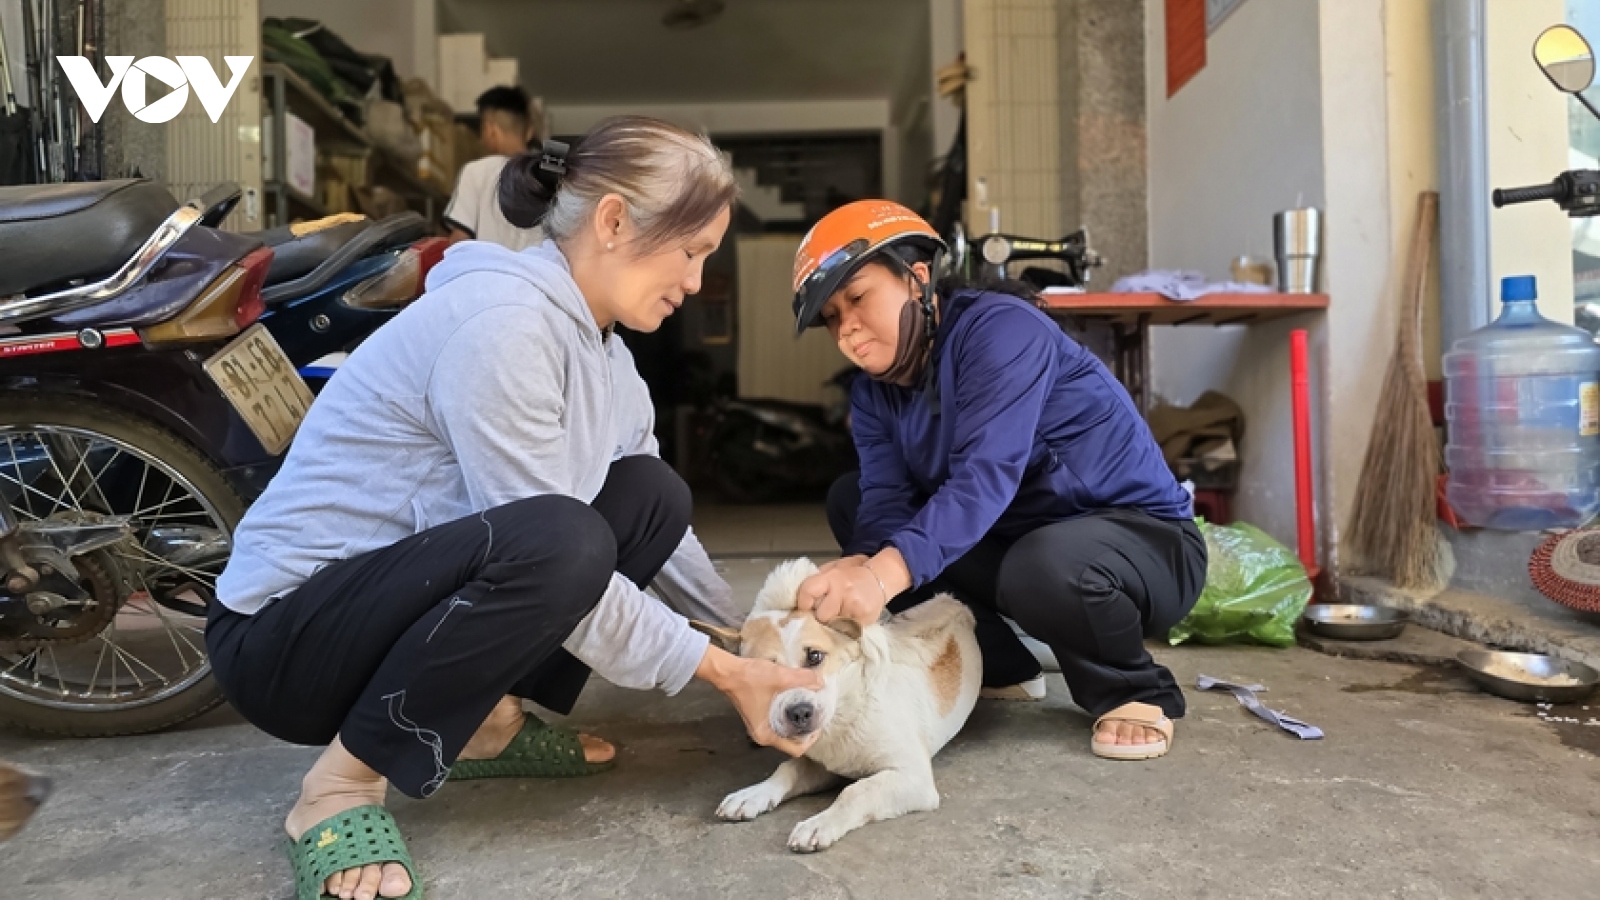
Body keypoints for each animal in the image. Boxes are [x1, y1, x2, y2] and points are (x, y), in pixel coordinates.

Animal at [716, 557, 985, 851]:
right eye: (761, 673)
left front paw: (819, 824)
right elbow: (788, 769)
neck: (848, 711)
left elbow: (856, 790)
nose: (799, 713)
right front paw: (752, 794)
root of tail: (950, 601)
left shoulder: (913, 777)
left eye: (815, 656)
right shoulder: (822, 766)